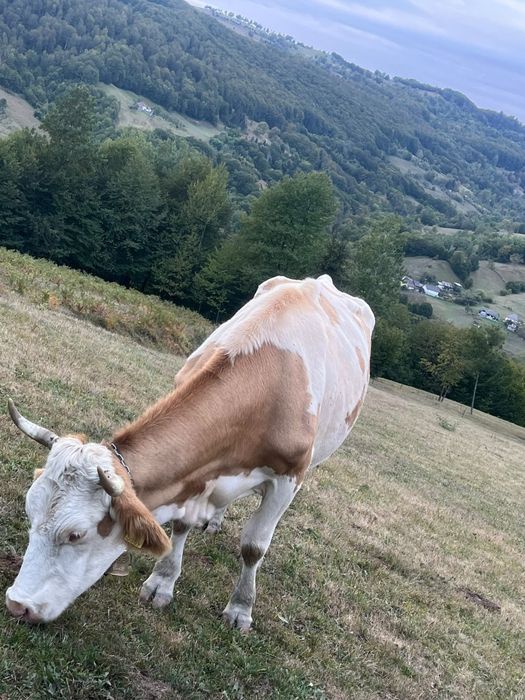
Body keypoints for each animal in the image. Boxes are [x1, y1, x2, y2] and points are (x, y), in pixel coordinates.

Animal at [5, 275, 374, 629]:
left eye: (75, 534)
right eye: (30, 513)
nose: (17, 604)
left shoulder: (289, 477)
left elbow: (254, 547)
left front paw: (241, 608)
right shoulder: (192, 479)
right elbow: (180, 527)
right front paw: (162, 582)